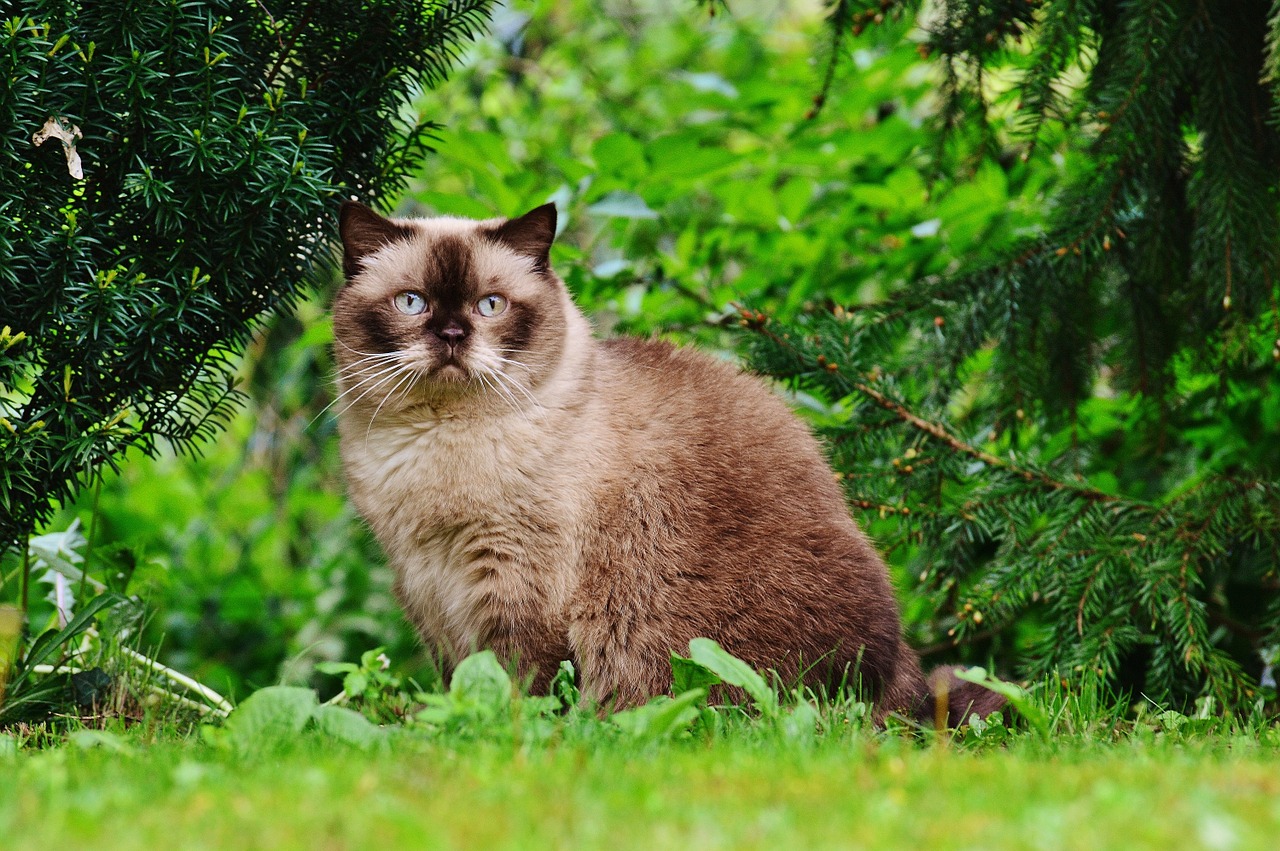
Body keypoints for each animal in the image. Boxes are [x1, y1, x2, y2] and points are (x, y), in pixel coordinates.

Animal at [330, 199, 998, 721]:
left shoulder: (516, 583)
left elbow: (518, 689)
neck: (438, 445)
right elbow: (459, 684)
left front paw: (510, 734)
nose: (450, 336)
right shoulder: (425, 583)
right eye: (412, 302)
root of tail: (910, 689)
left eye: (490, 306)